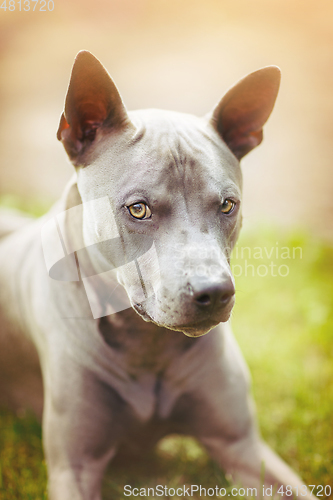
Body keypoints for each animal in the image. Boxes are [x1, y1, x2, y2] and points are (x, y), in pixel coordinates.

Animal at [0, 52, 314, 498]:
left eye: (228, 204)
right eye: (138, 209)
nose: (214, 292)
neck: (146, 343)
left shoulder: (244, 446)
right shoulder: (73, 468)